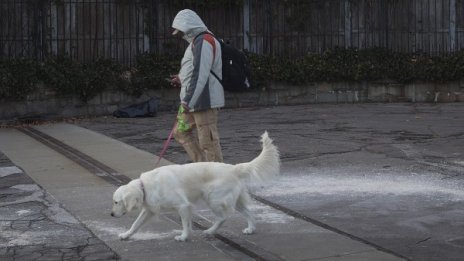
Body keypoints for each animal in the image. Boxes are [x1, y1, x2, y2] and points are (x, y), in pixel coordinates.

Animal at [111, 131, 280, 241]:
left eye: (117, 202)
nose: (111, 215)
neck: (145, 187)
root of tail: (233, 168)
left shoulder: (183, 205)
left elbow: (185, 224)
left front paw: (184, 237)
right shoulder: (149, 210)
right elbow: (136, 224)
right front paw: (126, 235)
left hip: (213, 198)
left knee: (223, 217)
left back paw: (210, 231)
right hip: (234, 200)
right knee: (248, 213)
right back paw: (250, 229)